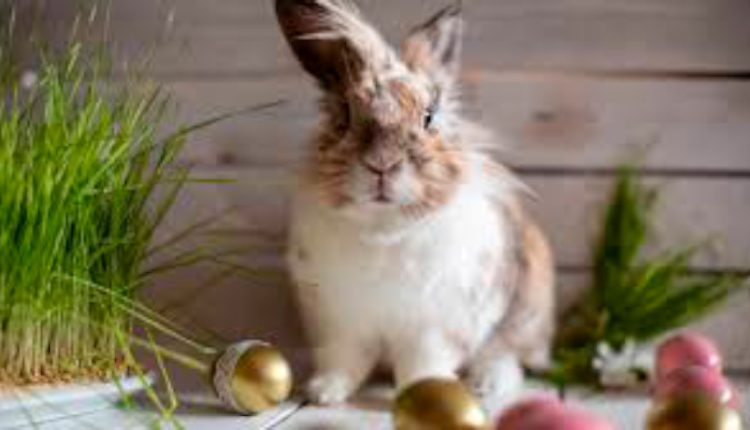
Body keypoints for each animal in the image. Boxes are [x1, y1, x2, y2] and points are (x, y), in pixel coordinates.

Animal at [276, 0, 555, 405]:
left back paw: (487, 384)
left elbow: (422, 363)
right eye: (346, 115)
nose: (382, 163)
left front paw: (423, 394)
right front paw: (324, 393)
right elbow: (345, 359)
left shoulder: (435, 327)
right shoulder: (338, 322)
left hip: (526, 309)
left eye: (428, 117)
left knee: (504, 353)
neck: (383, 226)